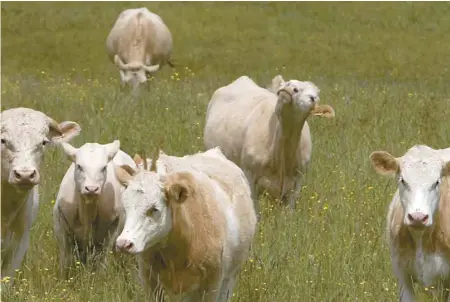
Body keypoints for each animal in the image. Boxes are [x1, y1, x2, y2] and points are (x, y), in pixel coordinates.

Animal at [52, 139, 137, 278]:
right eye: (79, 166)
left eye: (104, 168)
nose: (91, 189)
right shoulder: (61, 226)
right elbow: (65, 260)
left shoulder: (112, 228)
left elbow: (103, 259)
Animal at [115, 149, 256, 302]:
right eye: (125, 207)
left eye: (154, 208)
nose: (123, 243)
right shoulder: (150, 280)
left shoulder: (212, 284)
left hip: (230, 277)